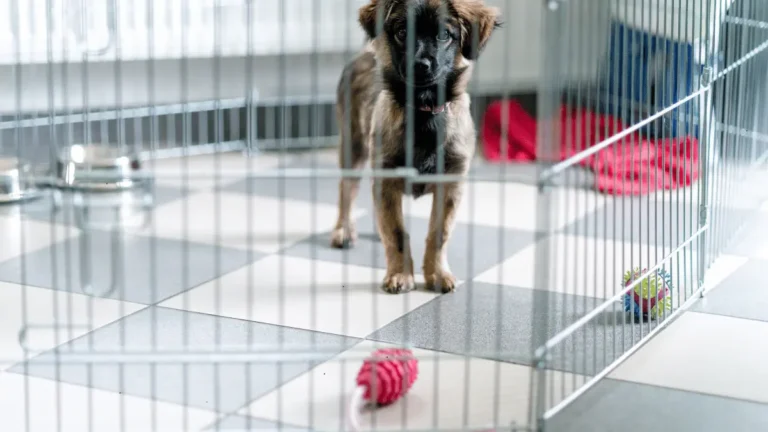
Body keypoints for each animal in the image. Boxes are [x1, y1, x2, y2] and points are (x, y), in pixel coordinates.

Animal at [328, 0, 498, 294]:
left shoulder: (450, 183)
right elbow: (396, 232)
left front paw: (437, 274)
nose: (420, 65)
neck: (424, 111)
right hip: (353, 145)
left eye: (444, 35)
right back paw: (344, 230)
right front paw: (400, 275)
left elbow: (439, 232)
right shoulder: (386, 178)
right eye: (401, 33)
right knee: (347, 189)